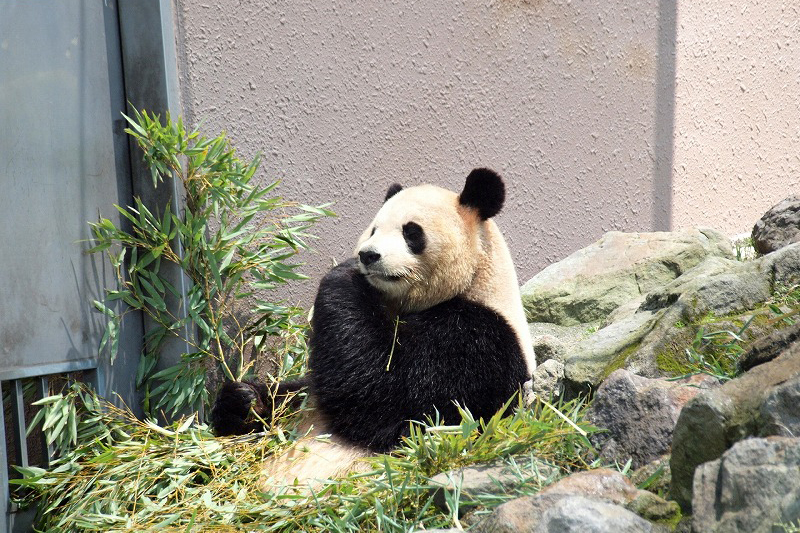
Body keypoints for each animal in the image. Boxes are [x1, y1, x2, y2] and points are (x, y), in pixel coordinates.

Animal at [212, 167, 536, 482]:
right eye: (374, 229)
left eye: (411, 232)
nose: (367, 255)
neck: (473, 282)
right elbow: (295, 395)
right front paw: (244, 400)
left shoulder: (478, 341)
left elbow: (392, 404)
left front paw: (344, 275)